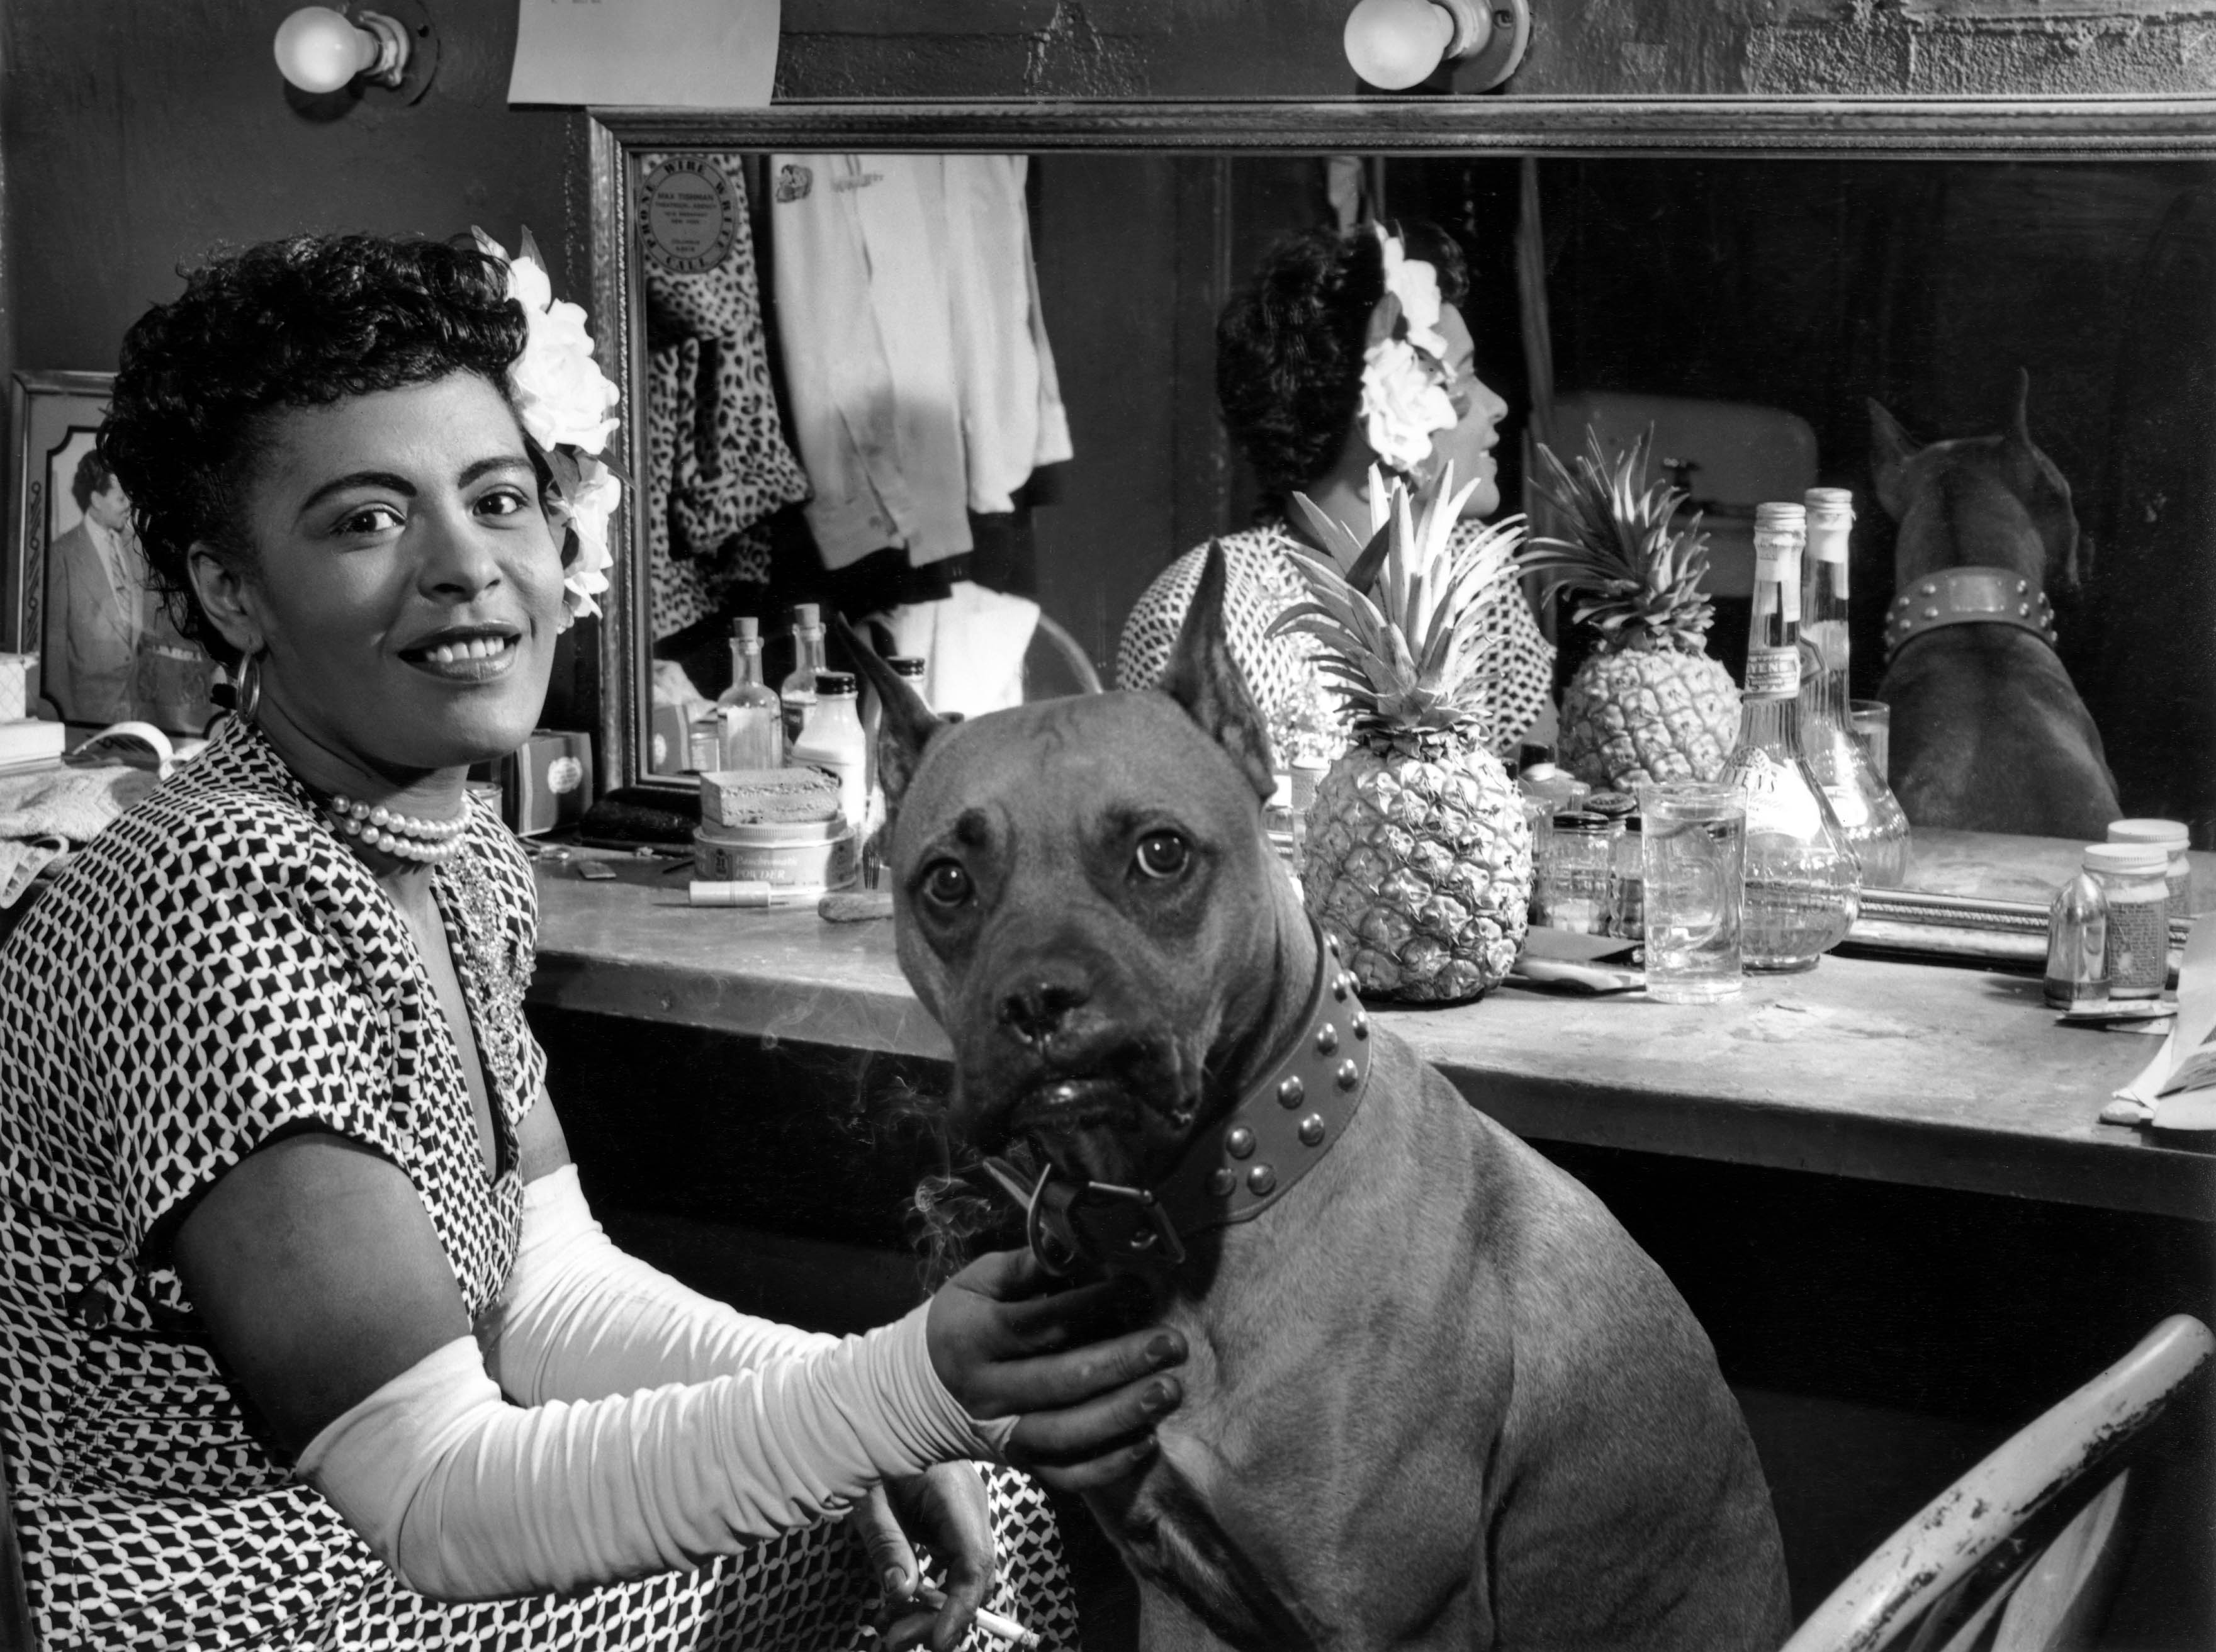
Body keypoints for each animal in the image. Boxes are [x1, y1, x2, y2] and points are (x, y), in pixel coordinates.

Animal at [837, 556, 1790, 1647]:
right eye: (946, 881)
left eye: (1160, 853)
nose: (1039, 1000)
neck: (1224, 1186)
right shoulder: (1175, 1601)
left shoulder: (1401, 1621)